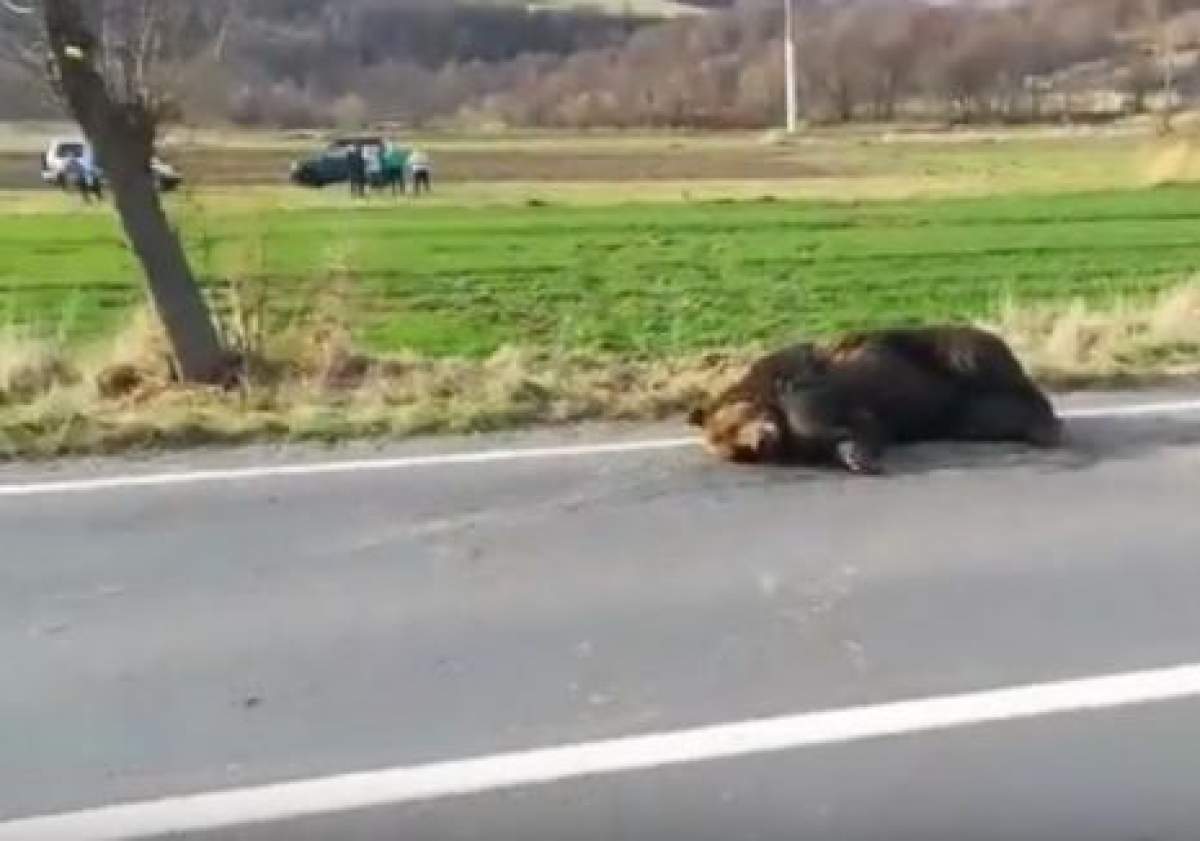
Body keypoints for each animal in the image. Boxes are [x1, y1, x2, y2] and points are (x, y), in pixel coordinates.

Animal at [691, 323, 1065, 475]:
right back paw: (1041, 429)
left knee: (982, 363)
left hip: (952, 353)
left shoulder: (798, 375)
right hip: (962, 413)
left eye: (734, 424)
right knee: (999, 415)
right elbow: (864, 429)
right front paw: (858, 457)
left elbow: (811, 409)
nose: (760, 441)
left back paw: (1049, 427)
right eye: (737, 451)